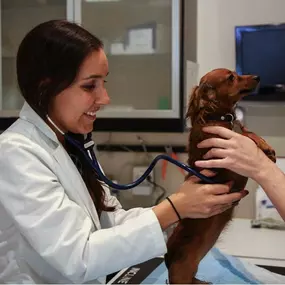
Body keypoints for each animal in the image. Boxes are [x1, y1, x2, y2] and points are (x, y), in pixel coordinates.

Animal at [164, 67, 276, 282]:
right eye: (231, 77)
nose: (257, 77)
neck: (220, 118)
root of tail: (167, 257)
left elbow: (247, 132)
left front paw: (265, 145)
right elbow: (243, 136)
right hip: (181, 271)